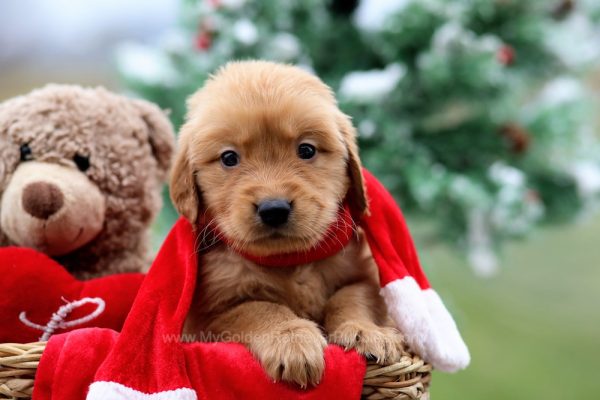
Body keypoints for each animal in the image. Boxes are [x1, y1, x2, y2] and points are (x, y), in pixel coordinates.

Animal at [170, 61, 404, 388]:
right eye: (229, 158)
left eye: (306, 150)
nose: (274, 209)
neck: (290, 261)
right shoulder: (208, 313)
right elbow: (258, 307)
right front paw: (292, 340)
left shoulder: (365, 275)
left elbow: (352, 296)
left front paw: (364, 331)